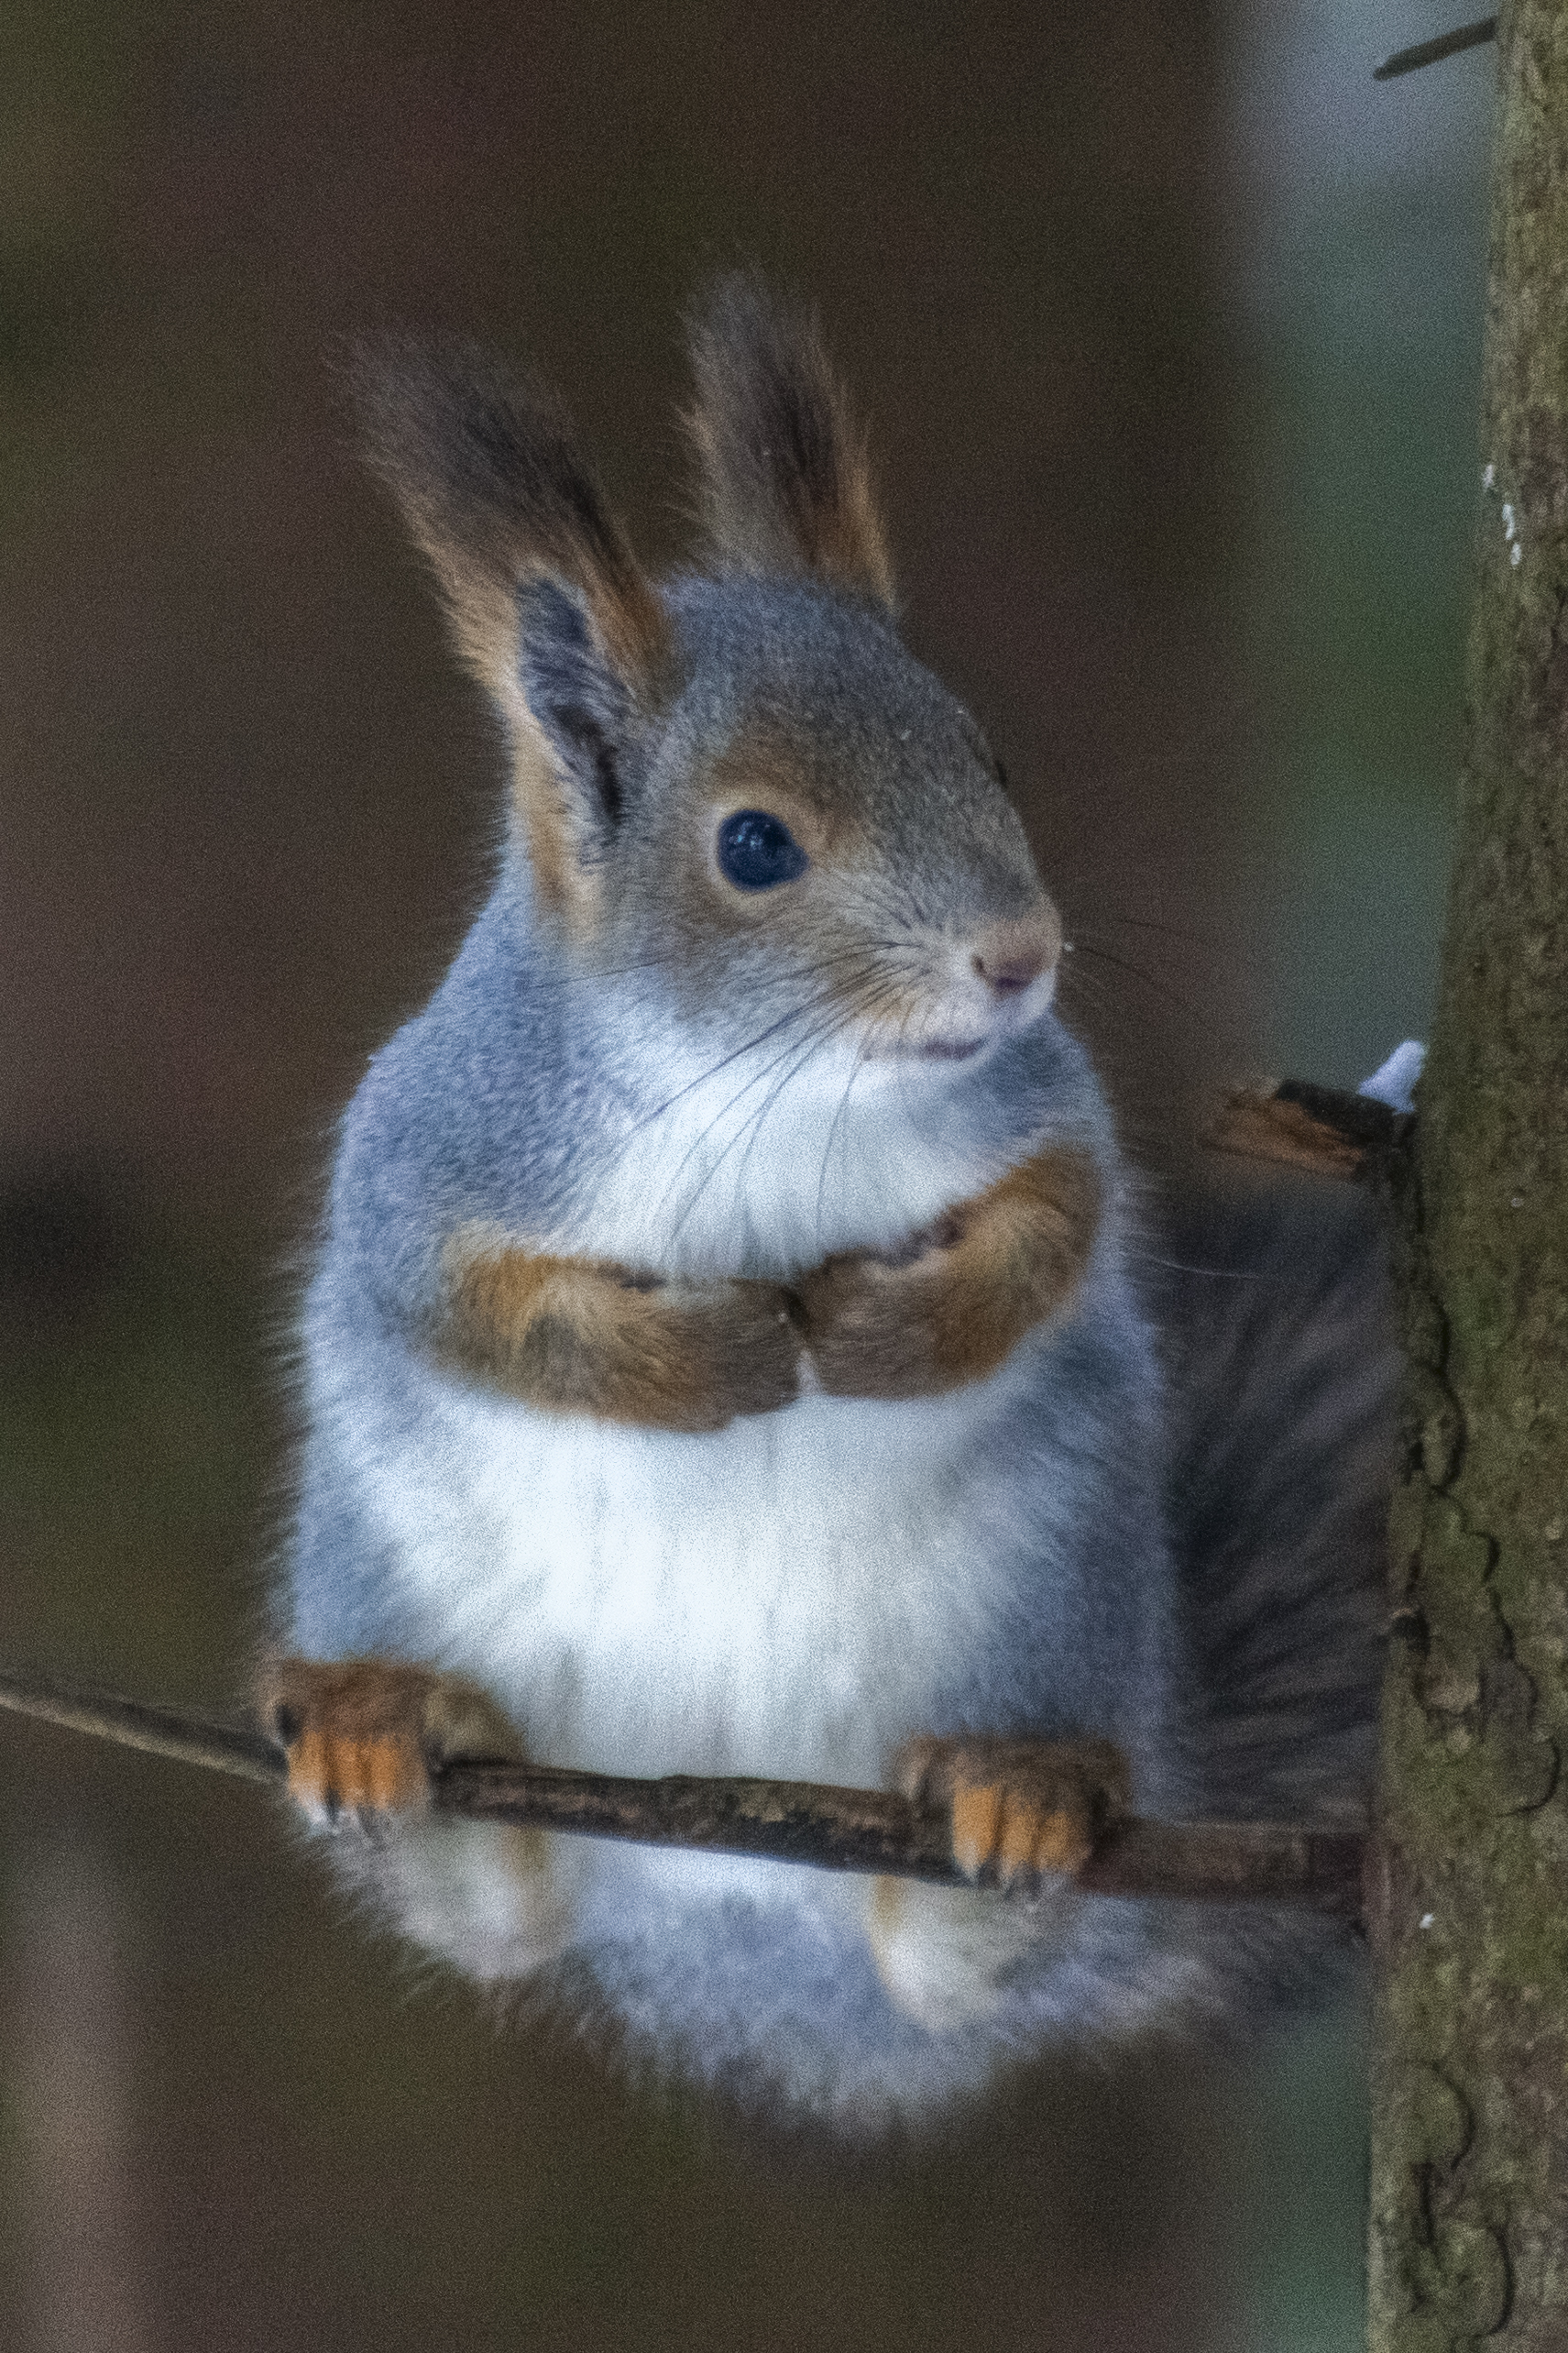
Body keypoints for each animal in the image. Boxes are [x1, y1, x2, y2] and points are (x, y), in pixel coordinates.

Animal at [263, 275, 1400, 2136]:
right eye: (753, 848)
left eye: (987, 758)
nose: (1017, 957)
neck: (786, 1092)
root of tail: (731, 1902)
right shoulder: (437, 1157)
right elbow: (471, 1310)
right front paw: (709, 1361)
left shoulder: (1035, 1106)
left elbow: (1056, 1226)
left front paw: (883, 1328)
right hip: (403, 1591)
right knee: (489, 1910)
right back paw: (382, 1723)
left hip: (1044, 1609)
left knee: (962, 1948)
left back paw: (1016, 1797)